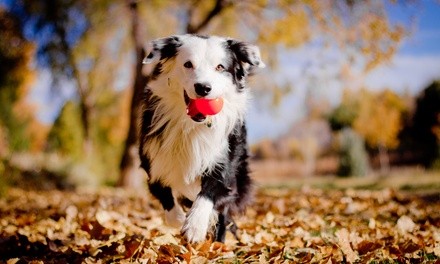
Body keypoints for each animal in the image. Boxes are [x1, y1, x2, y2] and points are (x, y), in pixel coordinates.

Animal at [139, 34, 264, 242]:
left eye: (220, 67)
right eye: (188, 64)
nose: (203, 88)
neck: (192, 126)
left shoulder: (224, 161)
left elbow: (208, 193)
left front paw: (195, 226)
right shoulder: (153, 161)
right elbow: (164, 196)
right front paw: (180, 219)